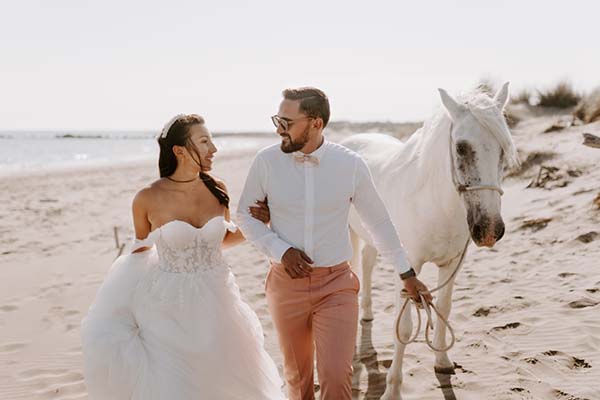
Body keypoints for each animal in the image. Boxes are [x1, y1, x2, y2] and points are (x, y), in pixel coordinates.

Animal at [344, 83, 516, 398]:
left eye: (503, 149)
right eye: (461, 147)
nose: (489, 229)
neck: (433, 204)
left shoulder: (451, 265)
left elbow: (444, 309)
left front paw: (442, 360)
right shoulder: (408, 269)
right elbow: (404, 328)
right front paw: (393, 389)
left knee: (368, 265)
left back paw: (368, 315)